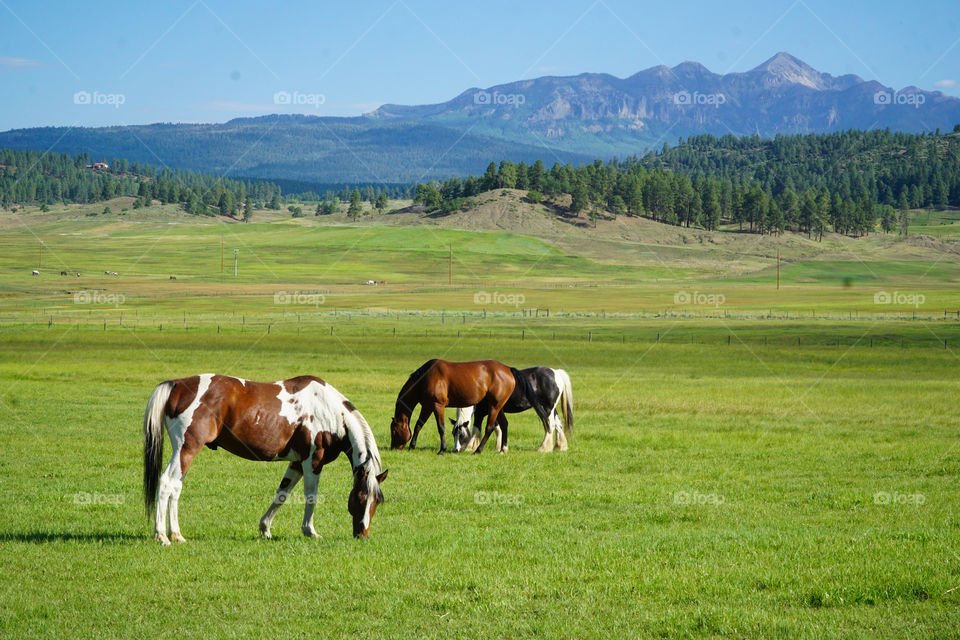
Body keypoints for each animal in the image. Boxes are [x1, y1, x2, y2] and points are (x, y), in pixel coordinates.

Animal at [142, 376, 386, 544]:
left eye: (377, 501)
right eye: (361, 497)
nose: (362, 534)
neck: (330, 411)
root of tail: (177, 385)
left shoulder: (297, 463)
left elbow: (282, 494)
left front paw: (265, 529)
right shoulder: (312, 461)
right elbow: (311, 496)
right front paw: (310, 531)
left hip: (184, 455)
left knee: (176, 488)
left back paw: (176, 534)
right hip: (186, 450)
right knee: (167, 483)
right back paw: (162, 536)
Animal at [386, 360, 544, 456]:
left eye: (394, 431)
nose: (393, 447)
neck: (426, 377)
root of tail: (508, 369)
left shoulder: (438, 405)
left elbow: (441, 427)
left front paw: (442, 450)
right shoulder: (428, 405)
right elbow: (419, 424)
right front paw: (412, 446)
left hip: (494, 406)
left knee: (489, 427)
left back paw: (478, 450)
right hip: (499, 407)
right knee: (504, 424)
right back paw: (502, 449)